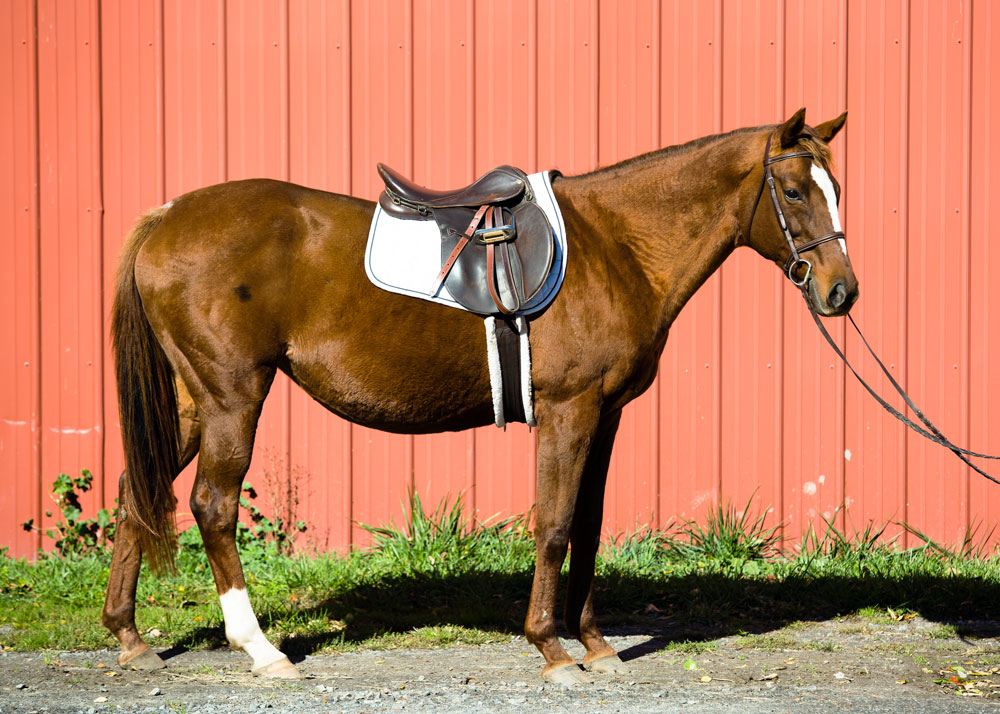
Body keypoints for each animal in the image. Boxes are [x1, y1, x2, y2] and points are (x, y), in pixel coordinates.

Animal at [102, 108, 857, 684]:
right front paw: (552, 649)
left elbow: (587, 526)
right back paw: (261, 650)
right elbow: (554, 525)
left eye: (836, 187)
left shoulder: (605, 414)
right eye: (794, 191)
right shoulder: (568, 410)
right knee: (212, 505)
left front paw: (595, 644)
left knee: (135, 489)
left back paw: (129, 636)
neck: (615, 245)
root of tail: (167, 217)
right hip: (231, 396)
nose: (841, 292)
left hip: (190, 401)